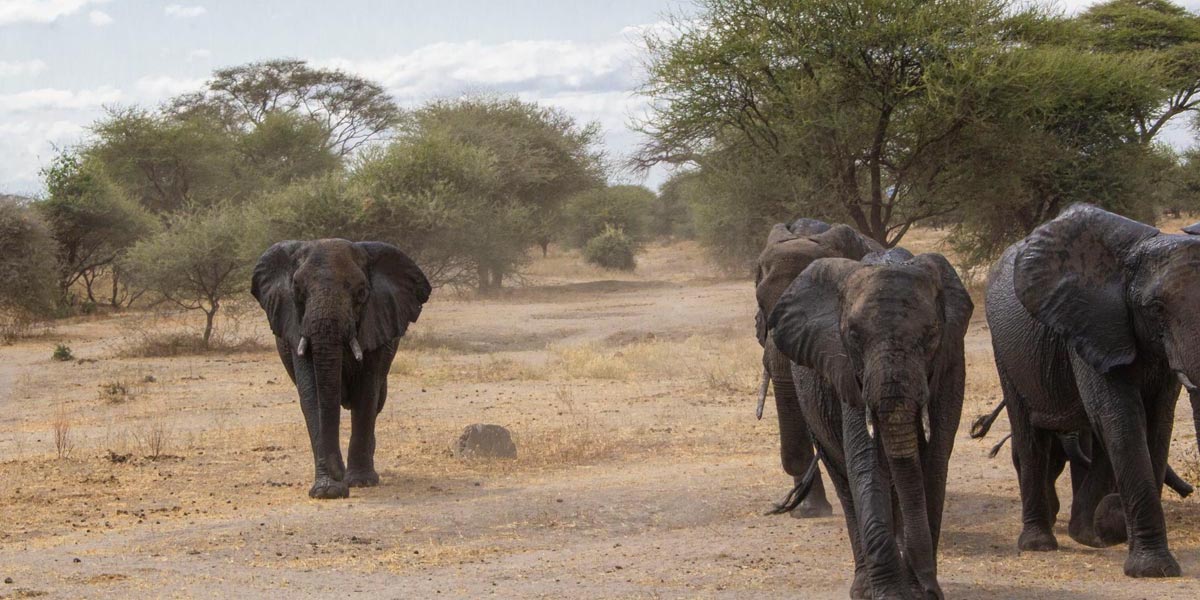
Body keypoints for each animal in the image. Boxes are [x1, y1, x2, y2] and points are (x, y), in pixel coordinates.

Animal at [252, 239, 431, 499]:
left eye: (362, 293)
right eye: (297, 291)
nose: (339, 473)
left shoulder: (375, 322)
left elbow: (366, 392)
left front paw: (360, 482)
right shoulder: (296, 327)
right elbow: (313, 394)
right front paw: (327, 489)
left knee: (377, 400)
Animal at [769, 248, 973, 599]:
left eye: (931, 335)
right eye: (852, 336)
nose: (929, 588)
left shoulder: (949, 366)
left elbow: (932, 464)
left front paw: (918, 591)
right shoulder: (847, 373)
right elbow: (867, 463)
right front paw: (892, 594)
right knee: (845, 482)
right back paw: (863, 588)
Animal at [986, 204, 1200, 577]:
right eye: (1155, 308)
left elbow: (1158, 423)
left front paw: (1101, 533)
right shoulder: (1088, 328)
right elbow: (1118, 420)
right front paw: (1151, 569)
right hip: (1004, 352)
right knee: (1029, 437)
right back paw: (1039, 544)